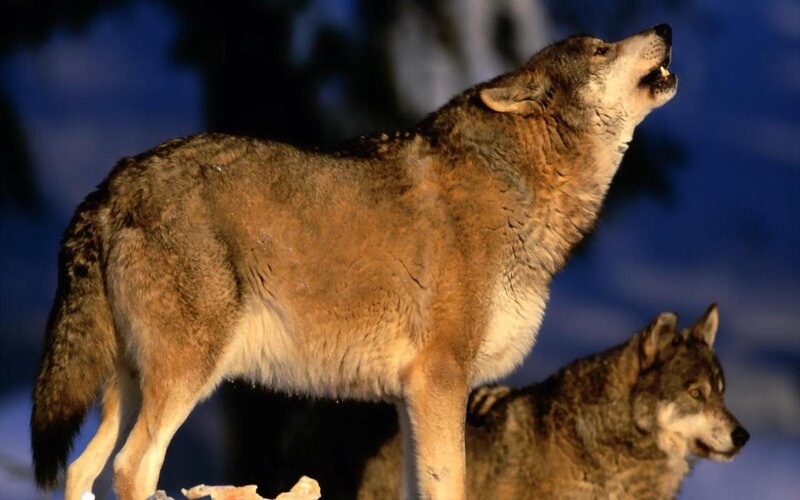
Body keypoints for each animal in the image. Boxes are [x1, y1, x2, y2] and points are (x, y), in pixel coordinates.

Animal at [31, 24, 677, 500]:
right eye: (600, 48)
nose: (665, 28)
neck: (520, 188)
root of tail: (111, 186)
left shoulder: (411, 396)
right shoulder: (441, 379)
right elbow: (451, 487)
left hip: (130, 387)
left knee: (83, 469)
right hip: (186, 378)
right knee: (131, 468)